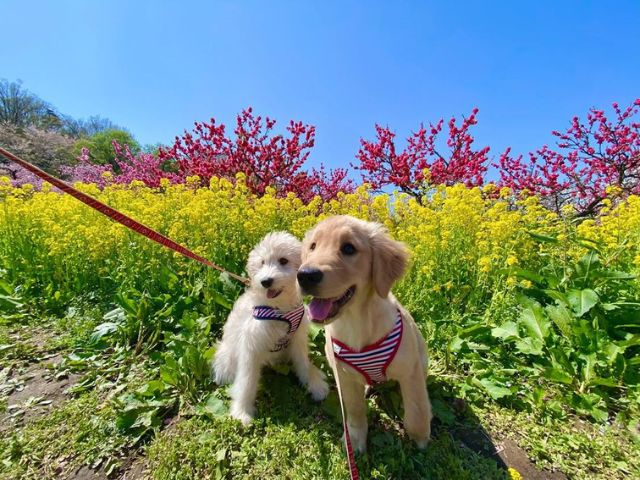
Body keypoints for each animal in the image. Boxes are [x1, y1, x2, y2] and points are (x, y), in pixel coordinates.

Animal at [214, 232, 328, 424]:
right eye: (262, 263)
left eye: (283, 260)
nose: (265, 281)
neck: (279, 309)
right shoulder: (251, 346)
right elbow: (246, 381)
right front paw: (242, 412)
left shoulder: (298, 339)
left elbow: (303, 364)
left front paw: (315, 385)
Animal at [298, 216, 432, 452]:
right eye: (312, 247)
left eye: (348, 248)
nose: (305, 276)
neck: (356, 322)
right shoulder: (343, 377)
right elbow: (354, 410)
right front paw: (355, 440)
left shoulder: (410, 371)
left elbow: (416, 410)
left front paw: (421, 438)